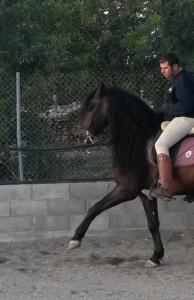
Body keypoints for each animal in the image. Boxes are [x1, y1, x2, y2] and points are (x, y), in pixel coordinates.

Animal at [68, 82, 194, 268]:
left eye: (91, 106)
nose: (77, 134)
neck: (140, 140)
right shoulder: (145, 194)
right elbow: (153, 224)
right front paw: (156, 256)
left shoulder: (126, 190)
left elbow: (95, 207)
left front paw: (76, 238)